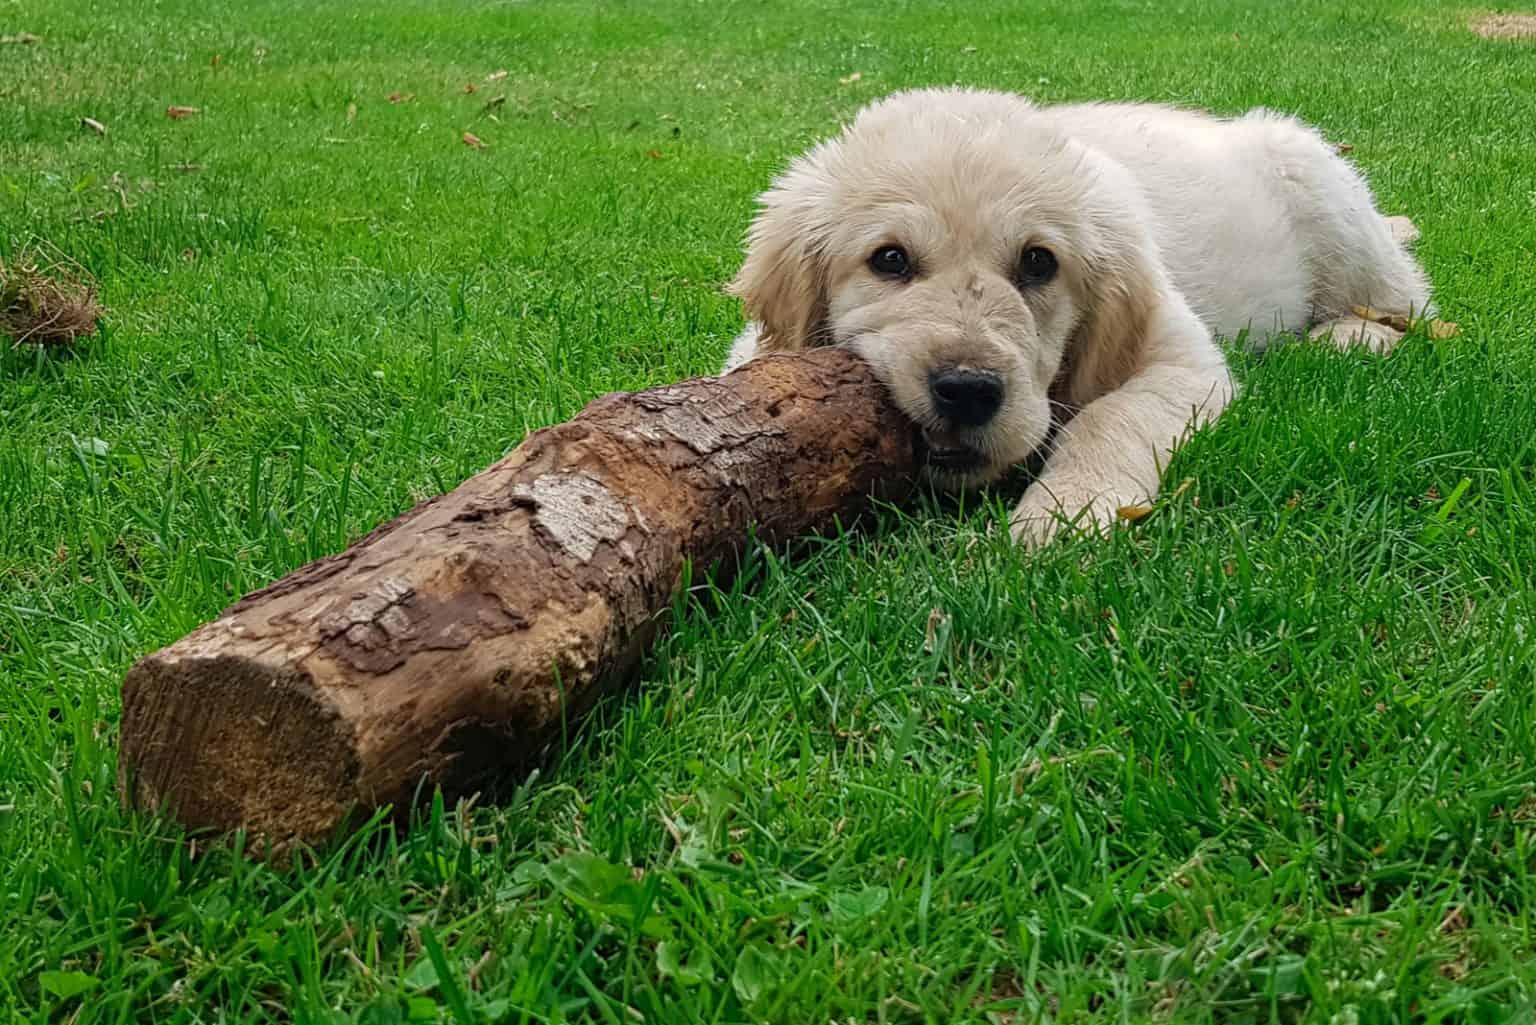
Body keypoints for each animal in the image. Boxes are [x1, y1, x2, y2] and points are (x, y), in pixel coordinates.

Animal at [724, 90, 1431, 544]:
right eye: (890, 259)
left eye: (1039, 263)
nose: (968, 390)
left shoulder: (1179, 356)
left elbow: (1110, 417)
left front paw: (1061, 516)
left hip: (1329, 200)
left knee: (1412, 306)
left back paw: (1350, 337)